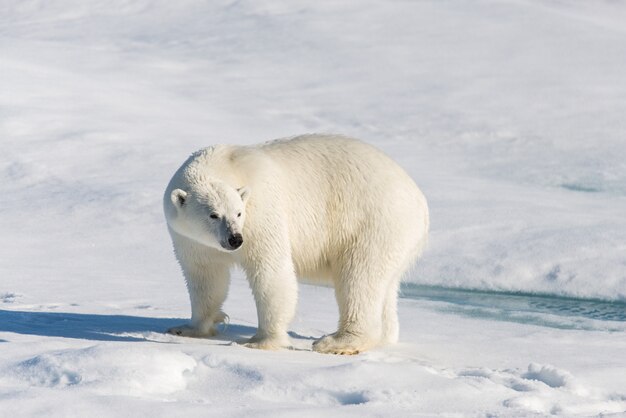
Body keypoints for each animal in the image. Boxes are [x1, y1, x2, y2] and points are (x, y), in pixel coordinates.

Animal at [163, 134, 426, 352]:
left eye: (238, 212)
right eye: (213, 215)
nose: (235, 239)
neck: (226, 164)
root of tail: (419, 200)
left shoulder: (261, 213)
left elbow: (271, 271)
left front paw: (261, 341)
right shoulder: (190, 239)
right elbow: (205, 277)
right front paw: (187, 329)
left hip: (372, 221)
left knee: (359, 277)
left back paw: (335, 342)